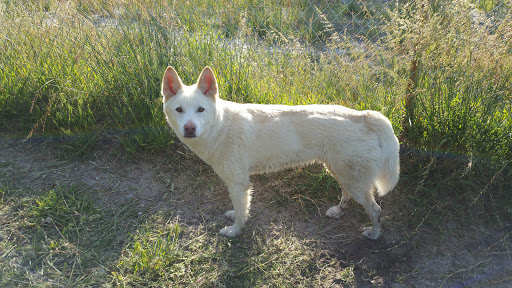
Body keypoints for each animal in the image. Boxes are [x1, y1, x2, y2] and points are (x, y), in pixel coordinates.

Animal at [161, 66, 400, 240]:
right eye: (179, 110)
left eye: (200, 109)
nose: (189, 128)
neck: (219, 125)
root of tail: (364, 116)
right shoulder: (238, 184)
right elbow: (240, 209)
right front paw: (235, 217)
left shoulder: (239, 183)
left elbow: (241, 212)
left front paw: (235, 231)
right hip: (341, 172)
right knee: (347, 195)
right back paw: (338, 211)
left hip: (352, 179)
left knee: (375, 210)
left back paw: (374, 234)